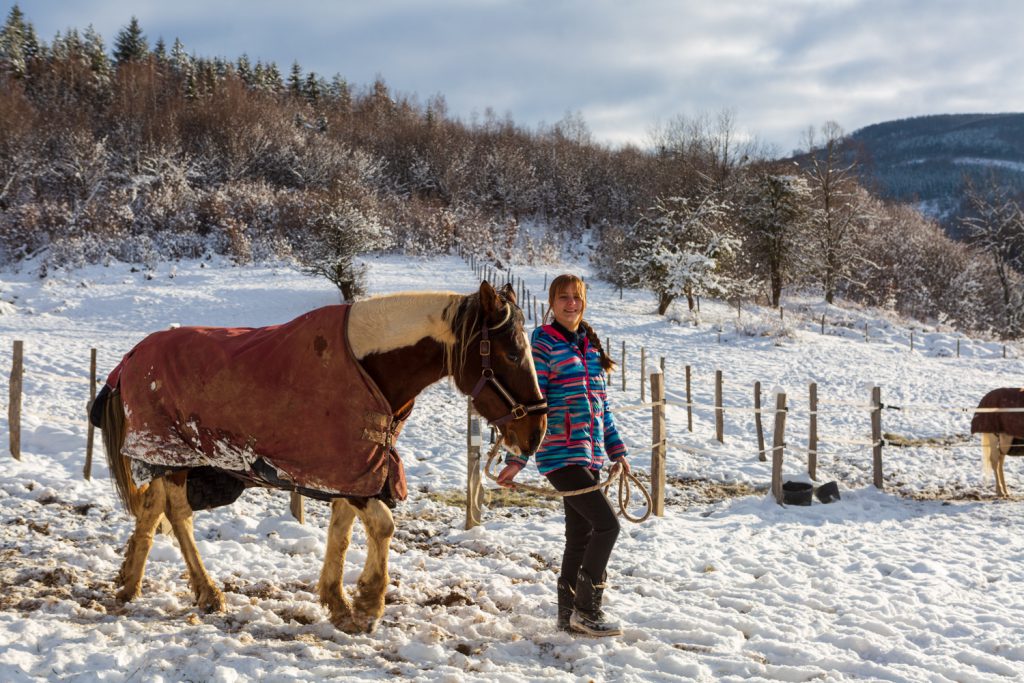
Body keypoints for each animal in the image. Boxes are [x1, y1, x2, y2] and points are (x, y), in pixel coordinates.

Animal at [95, 280, 547, 633]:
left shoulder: (352, 469)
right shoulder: (352, 471)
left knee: (152, 507)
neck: (370, 365)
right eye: (511, 354)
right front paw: (368, 604)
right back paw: (207, 592)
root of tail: (130, 358)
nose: (536, 433)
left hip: (172, 460)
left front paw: (338, 602)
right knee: (178, 513)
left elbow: (342, 533)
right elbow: (383, 526)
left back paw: (130, 583)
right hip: (171, 456)